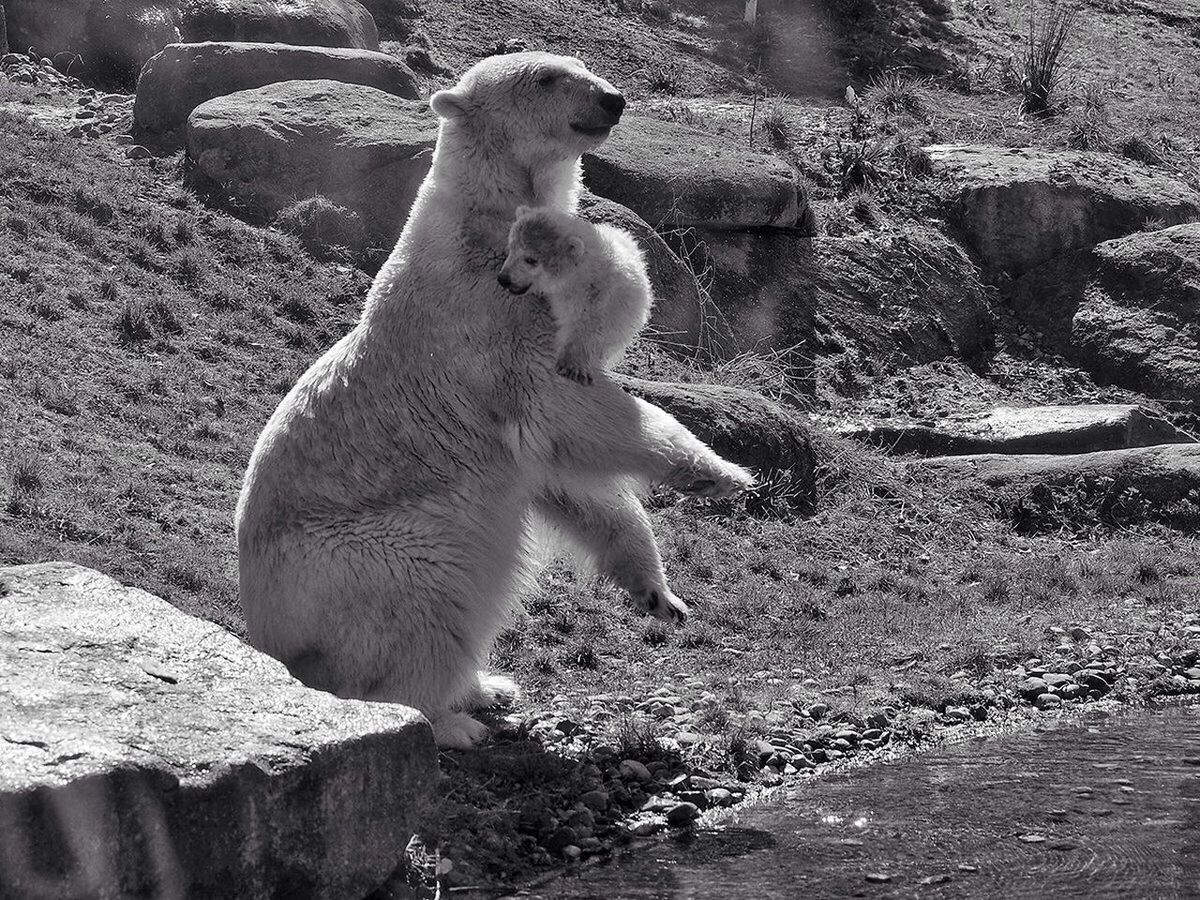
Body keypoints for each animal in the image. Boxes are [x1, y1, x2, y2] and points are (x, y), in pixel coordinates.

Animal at [236, 52, 748, 748]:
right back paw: (451, 719)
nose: (613, 99)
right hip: (370, 554)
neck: (486, 220)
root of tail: (267, 638)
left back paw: (490, 687)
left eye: (580, 63)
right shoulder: (497, 315)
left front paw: (660, 597)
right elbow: (570, 410)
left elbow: (569, 483)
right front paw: (720, 475)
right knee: (424, 601)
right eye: (547, 78)